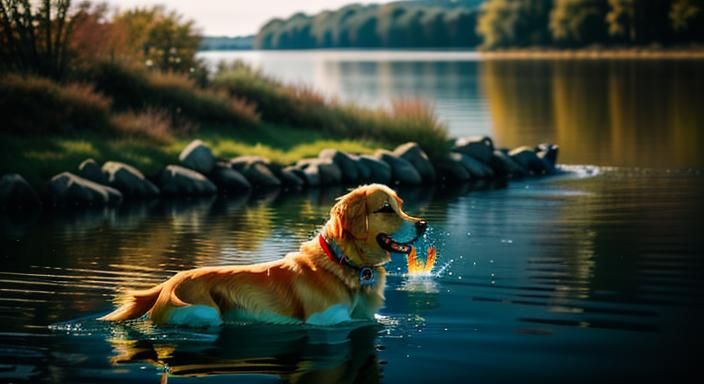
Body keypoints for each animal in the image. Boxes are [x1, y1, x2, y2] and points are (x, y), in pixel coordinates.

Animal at [99, 184, 426, 328]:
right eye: (386, 209)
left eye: (400, 205)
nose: (423, 224)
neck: (341, 262)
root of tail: (167, 283)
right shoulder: (327, 321)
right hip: (205, 311)